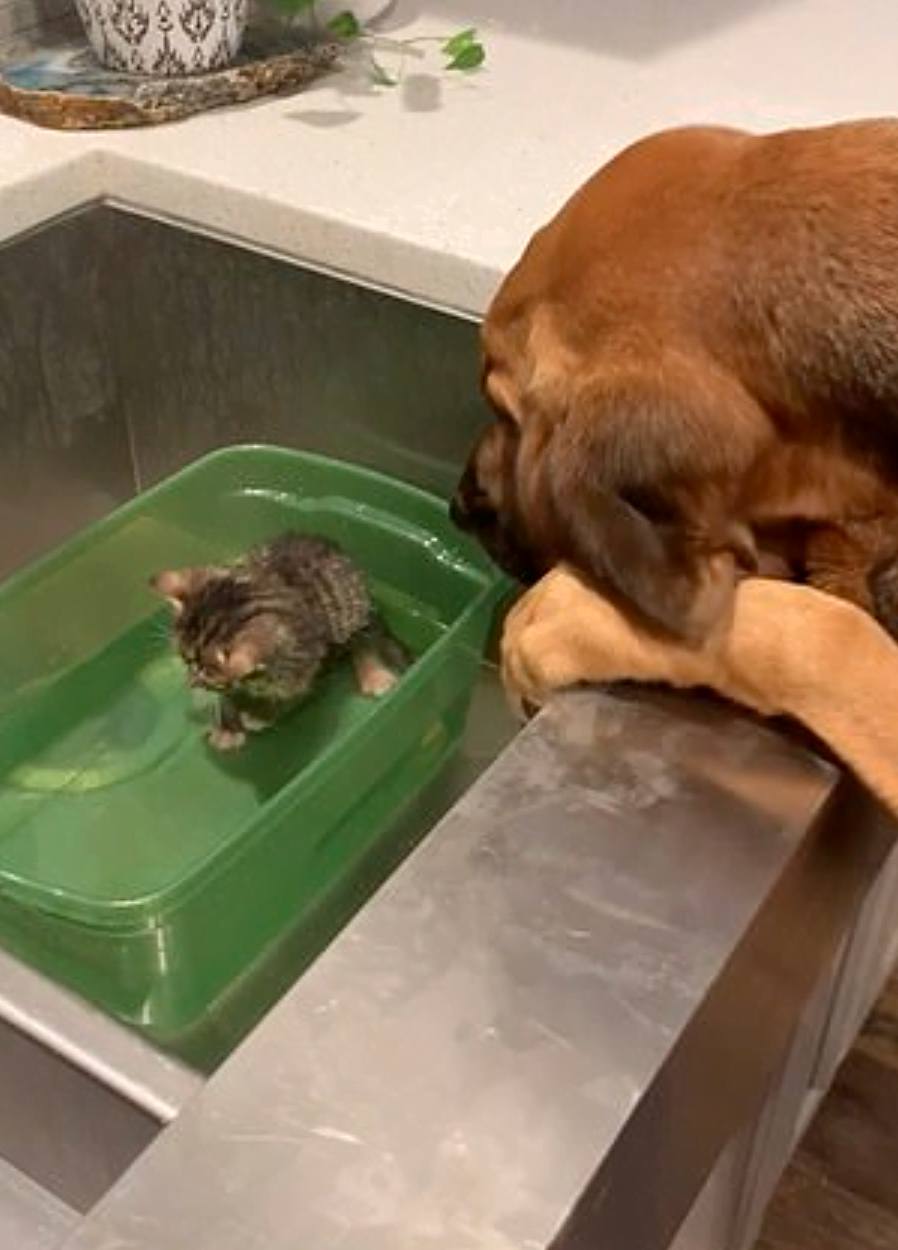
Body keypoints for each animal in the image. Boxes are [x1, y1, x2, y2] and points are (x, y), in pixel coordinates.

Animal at [151, 530, 407, 750]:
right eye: (185, 661)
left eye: (204, 671)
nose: (190, 683)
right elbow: (227, 694)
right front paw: (228, 727)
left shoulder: (310, 668)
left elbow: (288, 696)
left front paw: (261, 713)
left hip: (354, 609)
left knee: (364, 639)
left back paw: (375, 676)